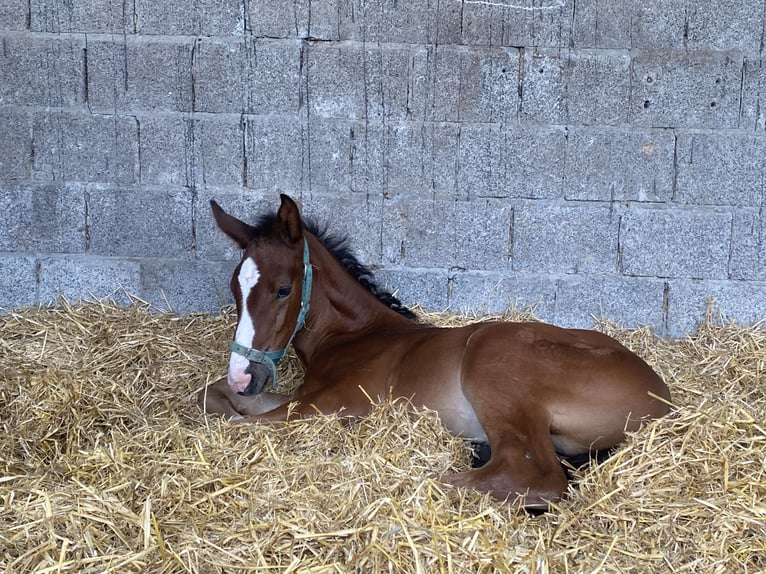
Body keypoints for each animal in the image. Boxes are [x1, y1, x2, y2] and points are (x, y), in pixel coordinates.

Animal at [200, 196, 672, 510]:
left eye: (283, 290)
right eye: (234, 289)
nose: (245, 376)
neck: (355, 335)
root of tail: (664, 401)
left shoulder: (329, 404)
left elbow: (235, 427)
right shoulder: (299, 397)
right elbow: (214, 396)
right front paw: (230, 395)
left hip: (493, 359)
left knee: (533, 475)